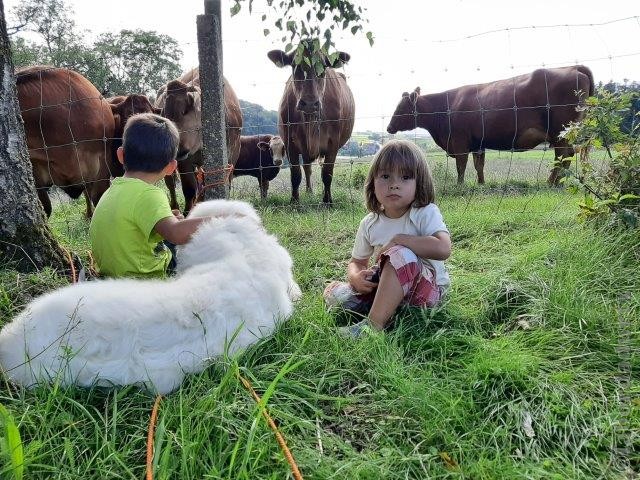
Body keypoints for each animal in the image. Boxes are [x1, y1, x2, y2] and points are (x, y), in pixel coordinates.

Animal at [266, 44, 356, 203]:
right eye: (294, 65)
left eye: (324, 67)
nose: (309, 103)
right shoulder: (289, 143)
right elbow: (296, 174)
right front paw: (294, 201)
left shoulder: (333, 143)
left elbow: (327, 173)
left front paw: (327, 200)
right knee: (307, 168)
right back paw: (309, 191)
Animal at [384, 66, 596, 187]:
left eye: (401, 107)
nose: (389, 127)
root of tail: (573, 67)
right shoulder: (478, 143)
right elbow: (479, 165)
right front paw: (481, 184)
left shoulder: (459, 142)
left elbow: (461, 165)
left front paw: (460, 185)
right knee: (568, 155)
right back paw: (559, 182)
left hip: (560, 132)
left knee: (562, 155)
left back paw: (551, 182)